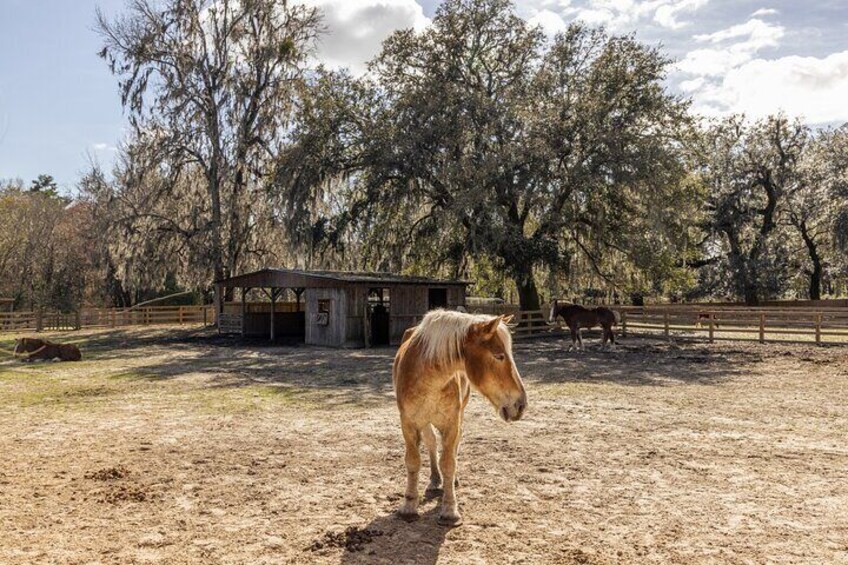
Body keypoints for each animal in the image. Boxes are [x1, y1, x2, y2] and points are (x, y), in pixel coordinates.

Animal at [394, 308, 528, 524]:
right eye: (499, 356)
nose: (521, 405)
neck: (428, 378)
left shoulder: (451, 423)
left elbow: (449, 463)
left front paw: (449, 509)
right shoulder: (408, 423)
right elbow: (413, 461)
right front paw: (409, 505)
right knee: (432, 443)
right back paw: (434, 480)